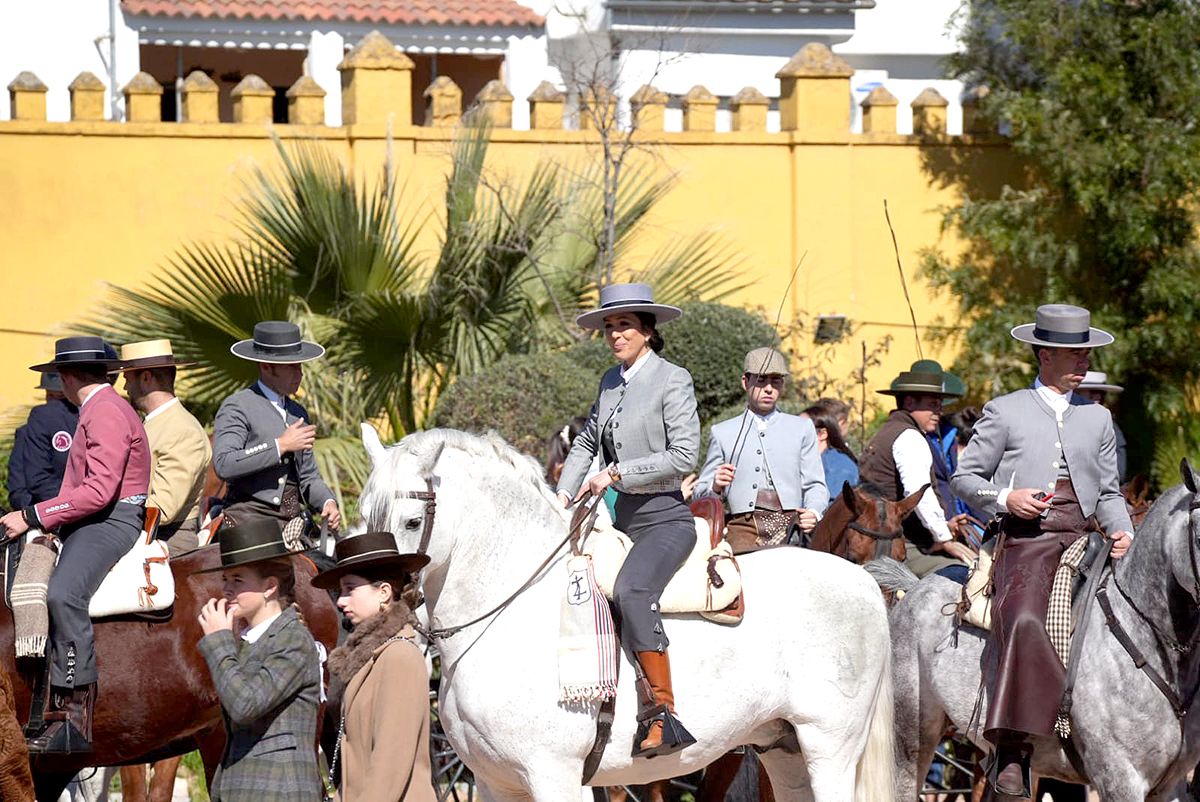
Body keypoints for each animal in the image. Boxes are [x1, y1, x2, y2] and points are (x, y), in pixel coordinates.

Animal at [355, 425, 892, 802]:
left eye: (412, 521)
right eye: (363, 516)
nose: (378, 602)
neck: (510, 614)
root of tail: (863, 583)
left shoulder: (553, 776)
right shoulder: (494, 784)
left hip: (830, 747)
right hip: (782, 749)